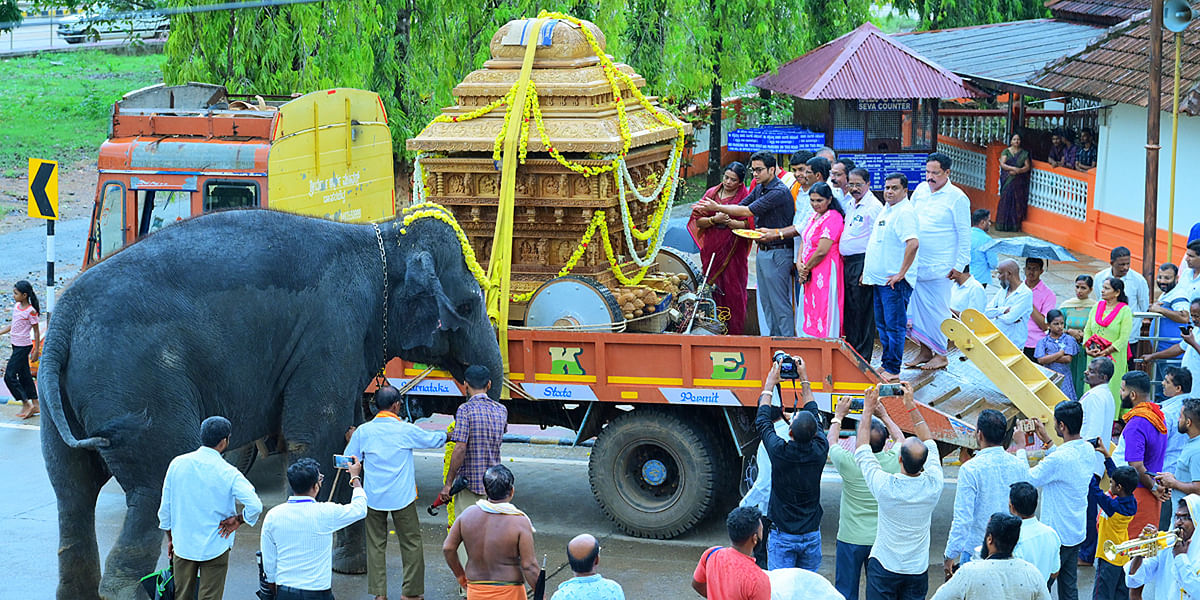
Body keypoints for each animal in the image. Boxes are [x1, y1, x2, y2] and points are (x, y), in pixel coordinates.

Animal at [36, 207, 496, 600]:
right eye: (468, 305)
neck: (378, 236)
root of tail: (62, 321)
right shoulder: (331, 331)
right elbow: (317, 436)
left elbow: (349, 437)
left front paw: (350, 569)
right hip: (141, 387)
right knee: (151, 484)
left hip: (59, 406)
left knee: (71, 490)